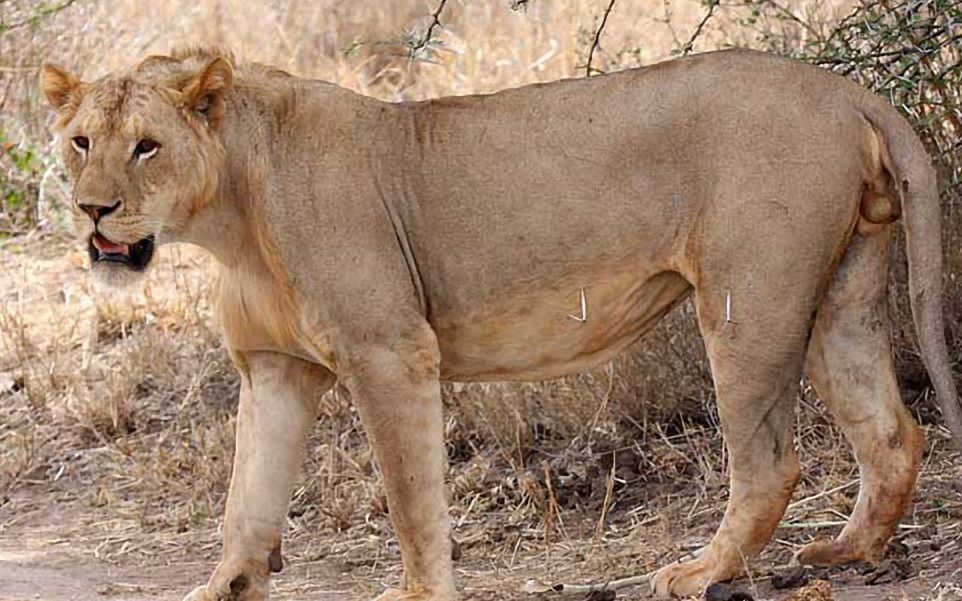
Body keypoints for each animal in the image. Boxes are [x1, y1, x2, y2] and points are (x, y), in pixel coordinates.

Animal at [43, 48, 960, 600]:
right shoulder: (275, 368)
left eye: (147, 146)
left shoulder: (389, 349)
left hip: (749, 300)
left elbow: (410, 494)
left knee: (770, 463)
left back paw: (697, 571)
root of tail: (846, 89)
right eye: (81, 141)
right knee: (891, 433)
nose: (92, 210)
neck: (229, 217)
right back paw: (849, 553)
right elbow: (247, 496)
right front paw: (225, 585)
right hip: (843, 294)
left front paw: (418, 592)